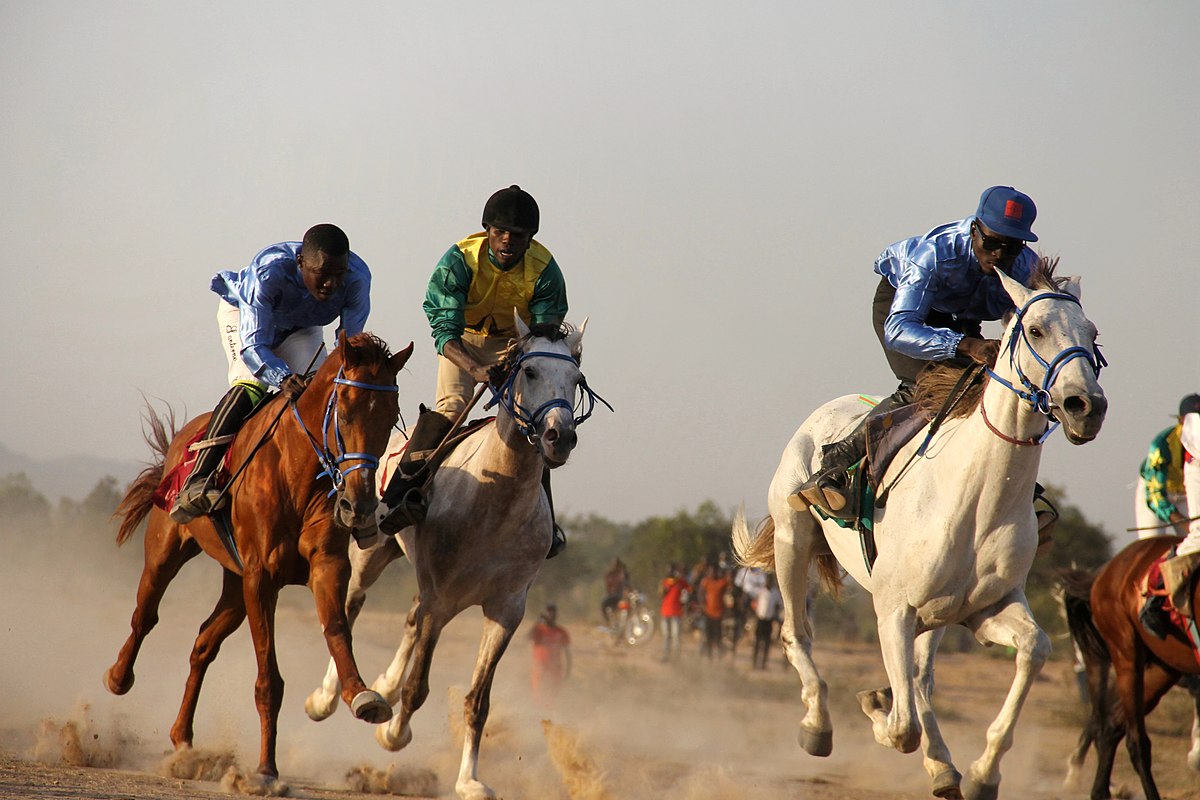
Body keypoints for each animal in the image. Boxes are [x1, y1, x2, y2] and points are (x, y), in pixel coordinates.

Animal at [300, 316, 600, 800]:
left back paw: (382, 686)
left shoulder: (506, 610)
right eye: (530, 371)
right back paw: (328, 698)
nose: (560, 437)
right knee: (350, 606)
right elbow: (418, 687)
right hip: (372, 551)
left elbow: (478, 701)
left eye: (575, 379)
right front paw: (393, 733)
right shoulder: (442, 599)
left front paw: (470, 780)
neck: (496, 500)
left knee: (408, 618)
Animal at [729, 266, 1104, 800]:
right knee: (796, 633)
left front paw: (982, 772)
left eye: (1092, 336)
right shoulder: (894, 610)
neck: (975, 498)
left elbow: (1034, 649)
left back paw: (941, 763)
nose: (1085, 406)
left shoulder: (985, 607)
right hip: (792, 539)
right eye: (1035, 330)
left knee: (921, 676)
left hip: (937, 612)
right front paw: (876, 707)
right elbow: (902, 725)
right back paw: (819, 724)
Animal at [1065, 537, 1200, 800]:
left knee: (1112, 723)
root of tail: (1104, 572)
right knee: (1136, 741)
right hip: (1126, 655)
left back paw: (1099, 789)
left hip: (1164, 666)